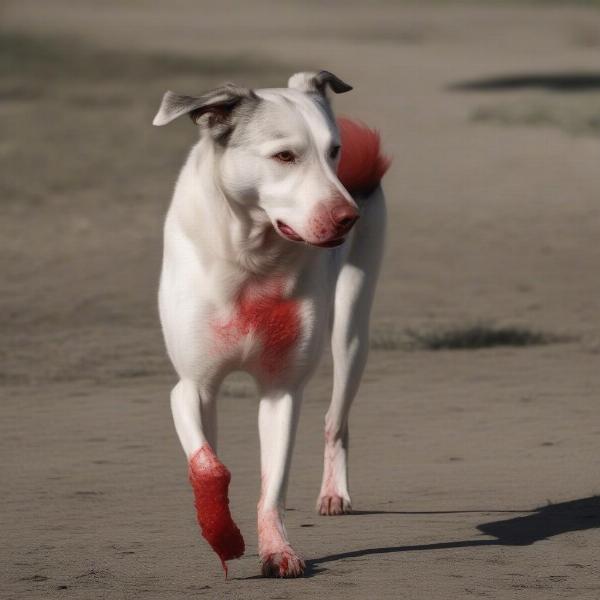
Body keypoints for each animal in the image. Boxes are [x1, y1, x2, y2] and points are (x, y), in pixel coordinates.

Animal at [152, 70, 392, 576]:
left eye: (334, 151)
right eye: (284, 156)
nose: (349, 217)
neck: (250, 258)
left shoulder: (283, 389)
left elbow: (274, 483)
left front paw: (277, 550)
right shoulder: (192, 385)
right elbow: (207, 463)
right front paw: (222, 535)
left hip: (351, 332)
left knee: (336, 419)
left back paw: (333, 492)